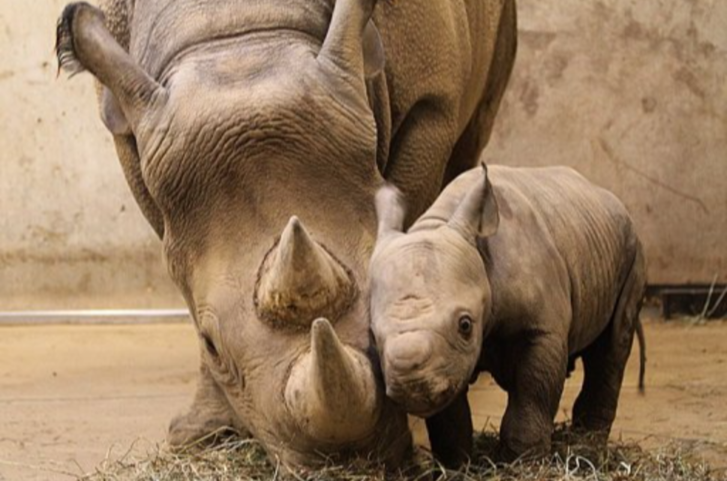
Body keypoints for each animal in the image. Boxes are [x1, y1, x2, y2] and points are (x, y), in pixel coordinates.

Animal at [54, 0, 517, 470]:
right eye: (211, 345)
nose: (346, 460)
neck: (238, 35)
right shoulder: (129, 129)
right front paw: (203, 435)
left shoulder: (430, 107)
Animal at [371, 164, 646, 466]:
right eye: (373, 336)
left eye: (465, 325)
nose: (410, 384)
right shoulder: (447, 362)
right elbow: (449, 413)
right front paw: (456, 465)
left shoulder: (541, 329)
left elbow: (532, 391)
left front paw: (522, 461)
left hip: (633, 248)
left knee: (612, 347)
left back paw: (588, 447)